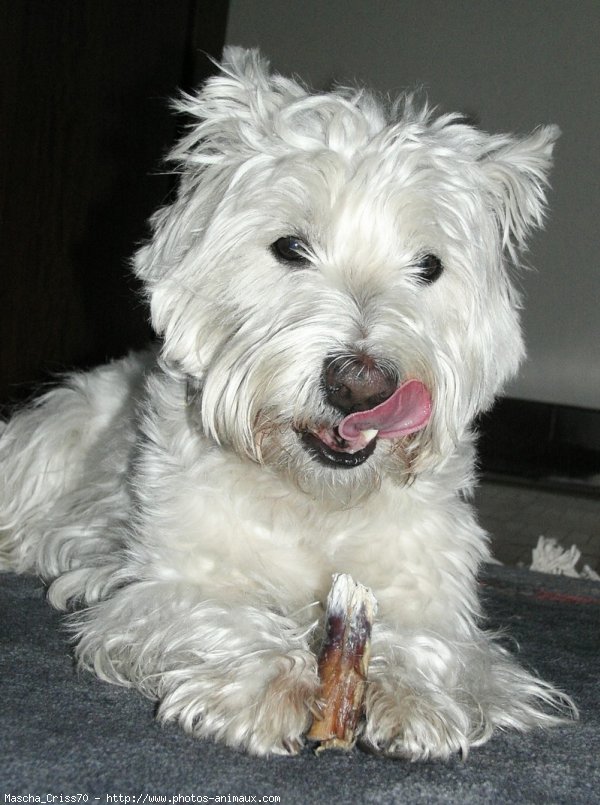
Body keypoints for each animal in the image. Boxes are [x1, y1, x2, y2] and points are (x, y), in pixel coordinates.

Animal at [0, 48, 576, 752]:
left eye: (429, 266)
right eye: (289, 248)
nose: (362, 384)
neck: (315, 501)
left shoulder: (433, 593)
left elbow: (440, 645)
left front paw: (417, 698)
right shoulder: (165, 581)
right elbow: (217, 614)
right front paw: (265, 686)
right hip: (51, 439)